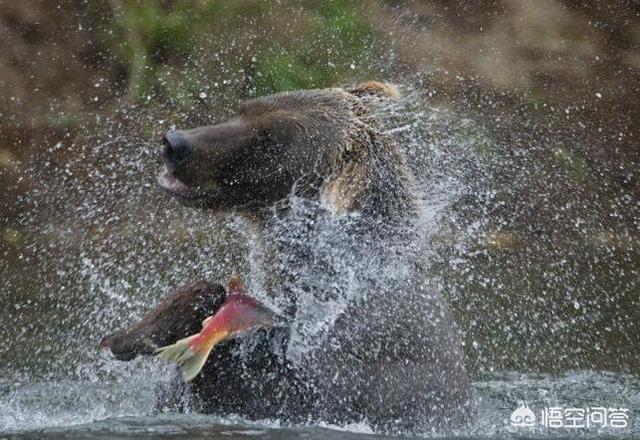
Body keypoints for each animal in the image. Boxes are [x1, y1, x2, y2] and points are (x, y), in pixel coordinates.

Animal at [100, 81, 470, 434]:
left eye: (269, 140)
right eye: (244, 109)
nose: (174, 143)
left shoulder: (369, 358)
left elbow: (268, 390)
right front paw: (131, 335)